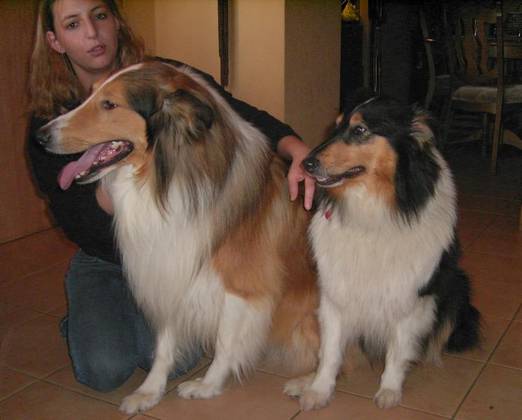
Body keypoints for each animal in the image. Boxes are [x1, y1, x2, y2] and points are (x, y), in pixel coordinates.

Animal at [284, 97, 481, 410]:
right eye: (335, 126)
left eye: (360, 130)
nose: (306, 163)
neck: (373, 210)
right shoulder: (335, 294)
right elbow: (330, 351)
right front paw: (318, 389)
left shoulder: (411, 297)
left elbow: (398, 350)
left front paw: (389, 389)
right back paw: (303, 382)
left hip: (458, 286)